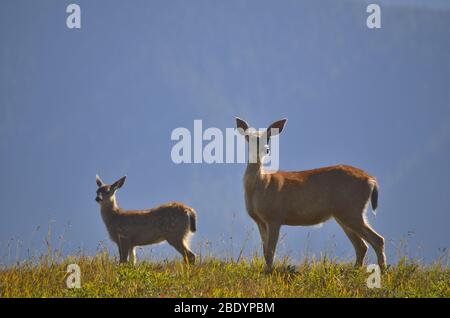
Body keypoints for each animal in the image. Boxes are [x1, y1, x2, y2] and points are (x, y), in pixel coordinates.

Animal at [234, 118, 384, 270]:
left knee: (377, 240)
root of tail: (371, 180)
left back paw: (382, 270)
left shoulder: (275, 216)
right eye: (249, 137)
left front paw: (269, 271)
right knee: (362, 245)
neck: (261, 184)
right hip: (345, 213)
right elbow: (265, 251)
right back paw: (357, 269)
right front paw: (267, 269)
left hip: (351, 209)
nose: (266, 149)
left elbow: (270, 251)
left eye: (268, 137)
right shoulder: (260, 220)